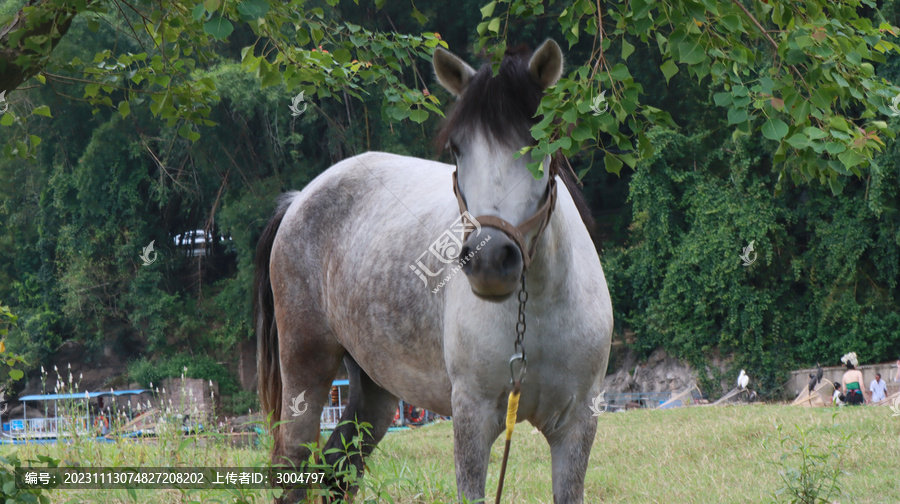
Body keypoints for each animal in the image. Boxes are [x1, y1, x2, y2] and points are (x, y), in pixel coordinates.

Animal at [256, 40, 616, 504]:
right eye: (457, 149)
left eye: (538, 143)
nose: (489, 259)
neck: (536, 311)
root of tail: (301, 197)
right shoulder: (472, 417)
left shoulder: (576, 426)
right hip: (305, 366)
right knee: (296, 462)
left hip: (374, 389)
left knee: (341, 466)